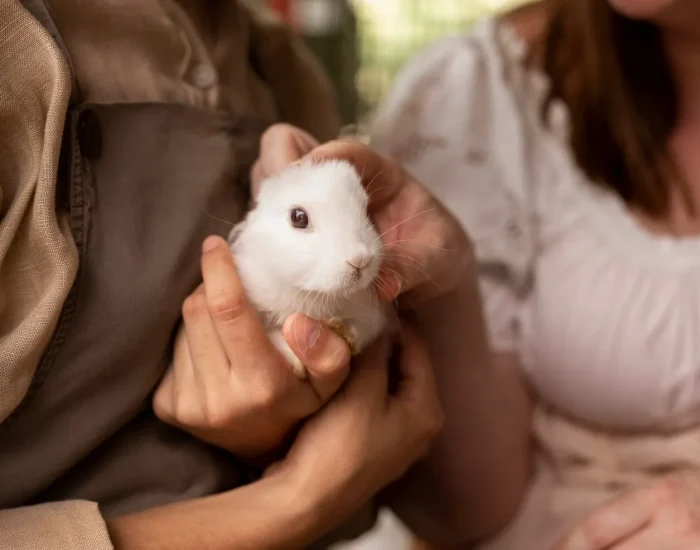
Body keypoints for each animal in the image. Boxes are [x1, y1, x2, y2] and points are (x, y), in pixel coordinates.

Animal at [228, 159, 389, 378]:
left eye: (367, 210)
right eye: (298, 217)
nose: (360, 259)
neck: (314, 294)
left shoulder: (371, 316)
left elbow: (362, 329)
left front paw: (347, 333)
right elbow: (272, 334)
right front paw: (296, 364)